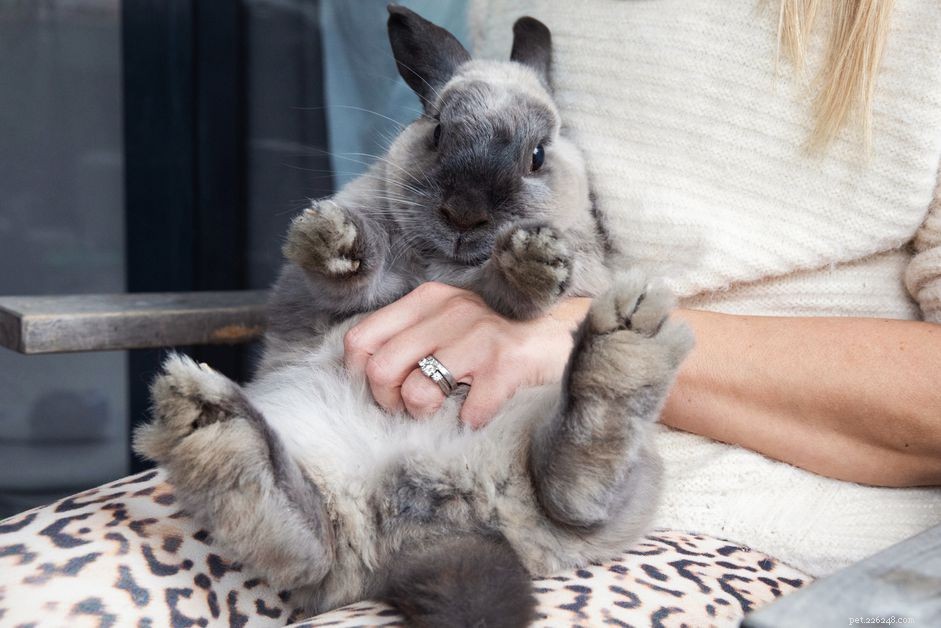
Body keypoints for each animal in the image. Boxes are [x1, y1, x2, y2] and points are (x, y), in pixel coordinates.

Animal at [134, 6, 693, 627]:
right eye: (438, 131)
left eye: (537, 156)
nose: (465, 212)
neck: (447, 262)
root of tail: (434, 524)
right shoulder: (350, 290)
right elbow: (359, 276)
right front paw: (331, 237)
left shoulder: (559, 275)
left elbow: (508, 294)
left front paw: (531, 261)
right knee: (309, 541)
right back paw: (211, 423)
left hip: (595, 479)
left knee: (572, 490)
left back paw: (622, 344)